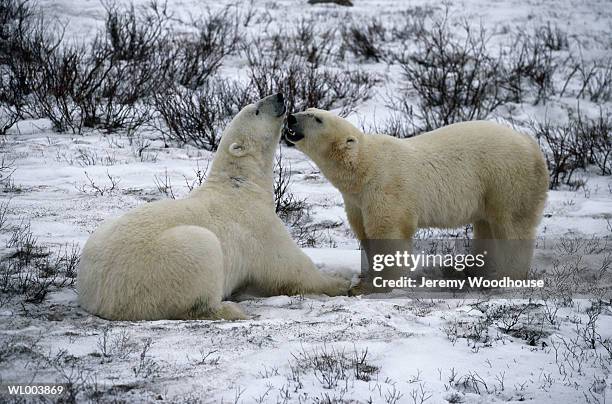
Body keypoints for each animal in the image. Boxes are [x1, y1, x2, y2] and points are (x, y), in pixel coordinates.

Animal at [77, 95, 350, 322]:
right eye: (256, 110)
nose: (280, 96)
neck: (242, 185)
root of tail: (100, 298)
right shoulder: (258, 226)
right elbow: (289, 267)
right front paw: (341, 282)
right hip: (163, 266)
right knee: (201, 261)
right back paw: (230, 309)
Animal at [286, 109, 548, 294]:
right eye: (306, 109)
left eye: (317, 118)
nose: (290, 118)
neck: (363, 167)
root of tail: (532, 146)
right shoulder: (356, 200)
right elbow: (363, 231)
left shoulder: (385, 187)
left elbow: (387, 232)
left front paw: (372, 287)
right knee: (487, 226)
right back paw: (476, 270)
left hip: (505, 180)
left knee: (511, 225)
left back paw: (505, 277)